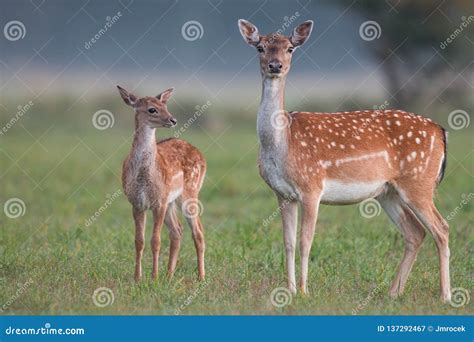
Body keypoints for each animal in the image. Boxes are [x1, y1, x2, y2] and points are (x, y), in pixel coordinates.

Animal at [118, 86, 206, 284]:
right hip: (171, 201)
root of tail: (201, 154)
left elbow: (156, 240)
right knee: (177, 231)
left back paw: (201, 277)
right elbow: (139, 240)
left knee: (198, 232)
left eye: (165, 105)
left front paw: (154, 277)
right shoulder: (137, 202)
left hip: (190, 193)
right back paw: (170, 274)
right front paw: (138, 278)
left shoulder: (159, 202)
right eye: (152, 109)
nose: (172, 120)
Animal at [239, 19, 450, 302]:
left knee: (442, 228)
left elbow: (306, 241)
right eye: (260, 47)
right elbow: (288, 242)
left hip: (419, 182)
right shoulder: (282, 193)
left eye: (290, 49)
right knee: (416, 232)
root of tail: (440, 131)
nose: (275, 65)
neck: (283, 143)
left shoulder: (311, 186)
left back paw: (445, 295)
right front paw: (290, 290)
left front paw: (305, 291)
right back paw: (393, 292)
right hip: (388, 192)